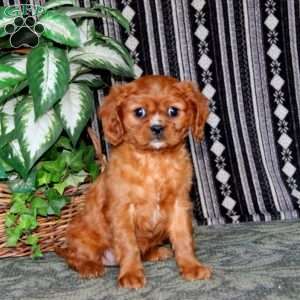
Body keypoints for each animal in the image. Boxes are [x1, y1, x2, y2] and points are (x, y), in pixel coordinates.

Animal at [56, 75, 211, 288]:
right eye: (139, 112)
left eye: (173, 111)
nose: (157, 127)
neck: (154, 160)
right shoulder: (122, 210)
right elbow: (128, 245)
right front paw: (130, 274)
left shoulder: (179, 204)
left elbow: (183, 238)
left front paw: (191, 266)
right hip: (82, 236)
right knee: (73, 256)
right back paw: (89, 266)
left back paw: (156, 252)